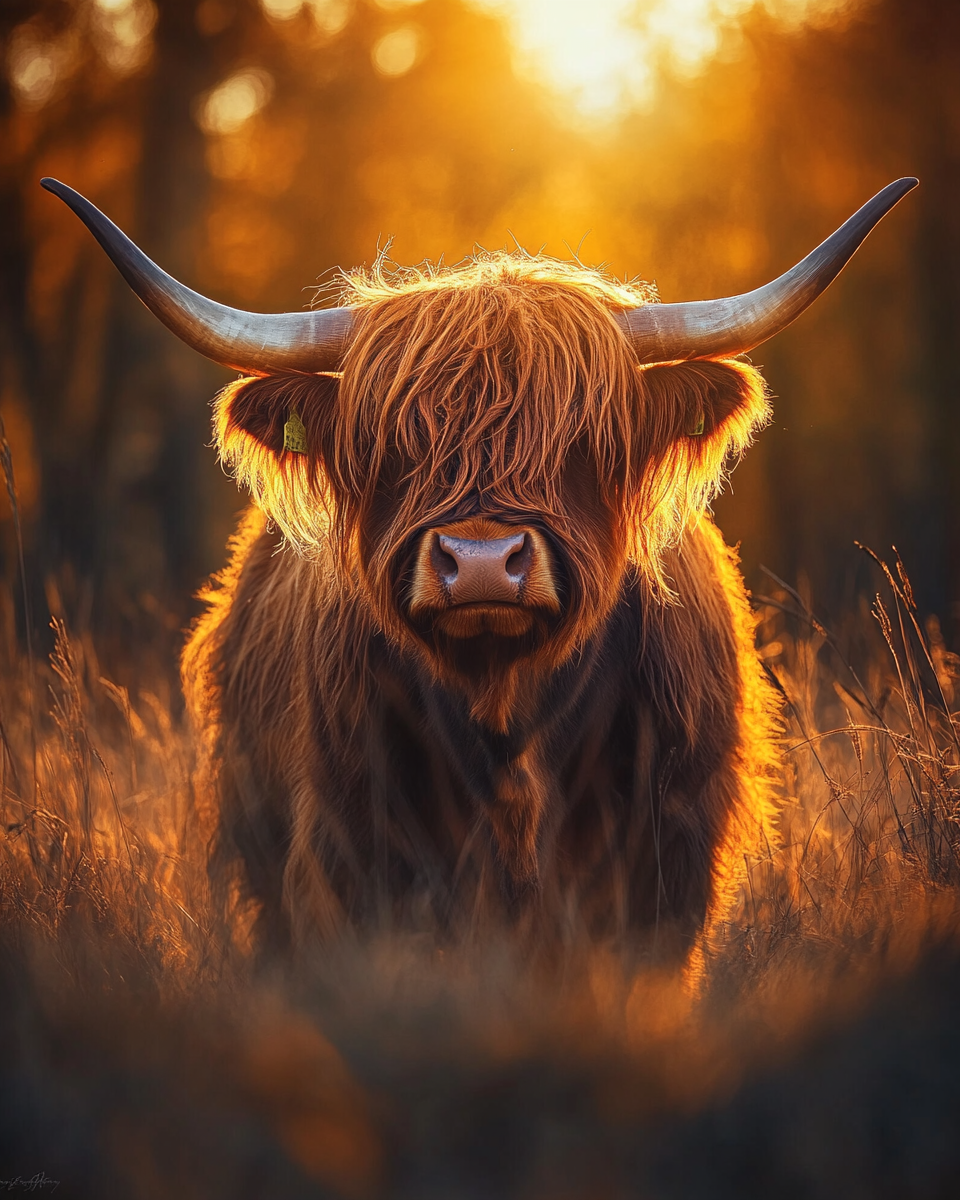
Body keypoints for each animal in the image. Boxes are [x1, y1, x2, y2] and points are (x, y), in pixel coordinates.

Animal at [43, 175, 916, 964]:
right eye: (394, 445)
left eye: (581, 440)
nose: (485, 564)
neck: (507, 711)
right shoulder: (351, 858)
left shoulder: (663, 868)